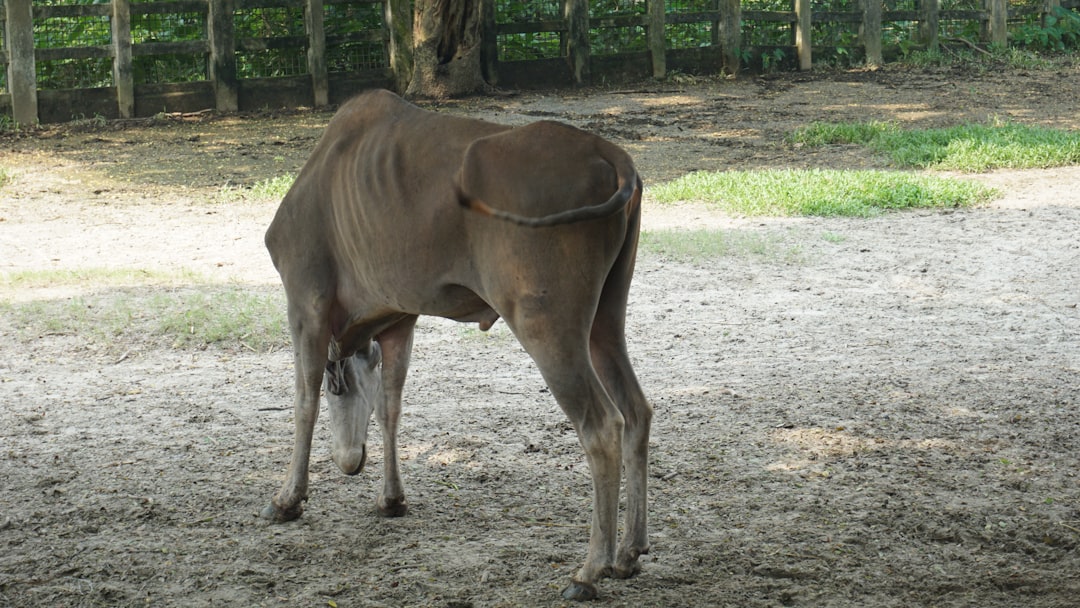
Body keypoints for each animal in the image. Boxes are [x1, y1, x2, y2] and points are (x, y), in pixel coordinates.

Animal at [261, 90, 648, 600]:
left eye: (337, 387)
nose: (349, 462)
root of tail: (613, 157)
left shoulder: (305, 300)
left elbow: (303, 402)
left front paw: (287, 498)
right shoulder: (400, 319)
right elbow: (390, 407)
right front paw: (391, 499)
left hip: (547, 326)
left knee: (603, 426)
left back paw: (589, 571)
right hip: (605, 319)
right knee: (637, 411)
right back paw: (629, 552)